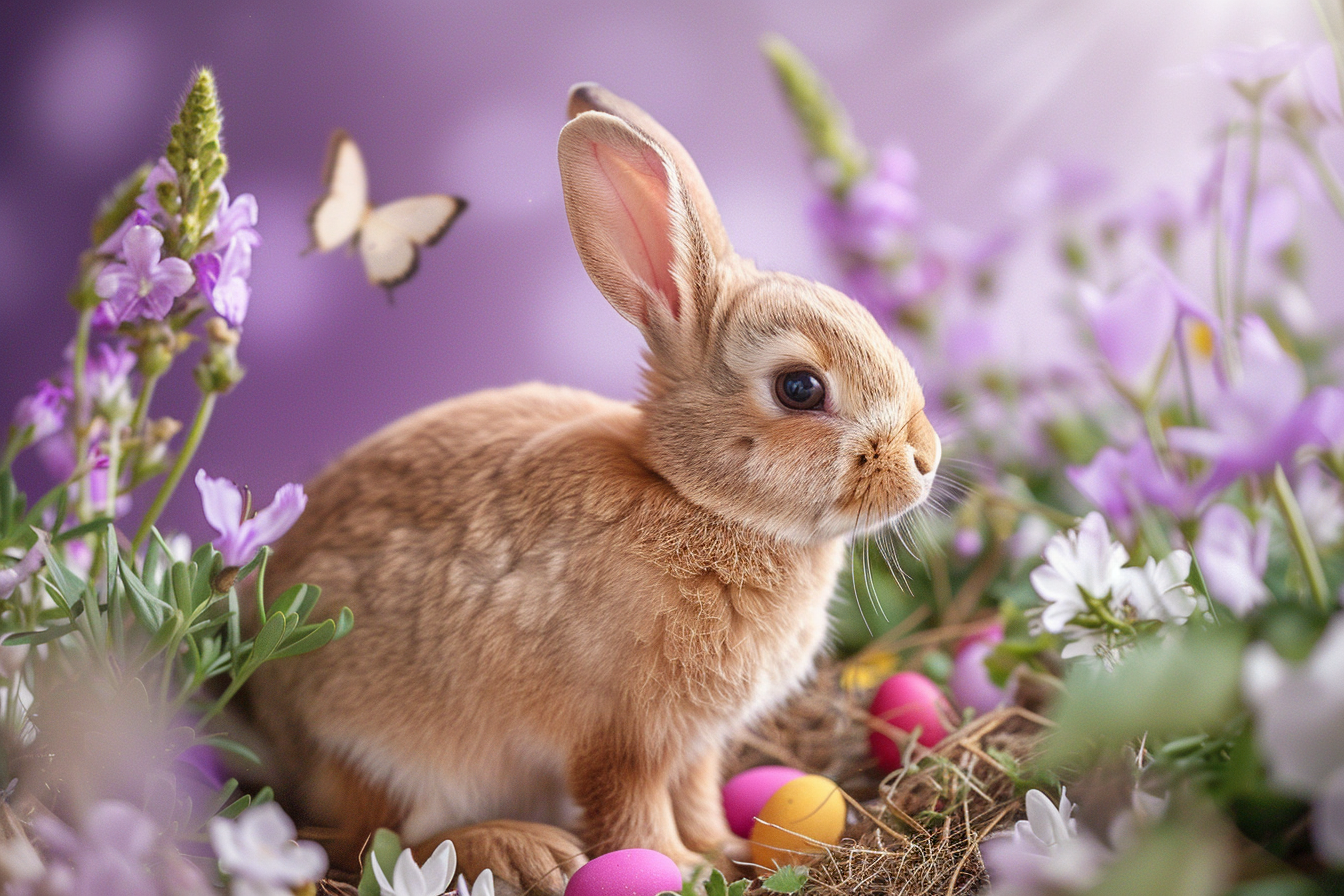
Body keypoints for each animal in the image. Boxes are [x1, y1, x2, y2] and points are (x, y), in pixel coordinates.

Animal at [243, 83, 940, 892]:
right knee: (368, 843)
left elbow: (697, 796)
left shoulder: (695, 744)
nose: (925, 457)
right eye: (800, 388)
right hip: (387, 755)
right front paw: (679, 870)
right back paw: (523, 850)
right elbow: (631, 812)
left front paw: (725, 851)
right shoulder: (621, 738)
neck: (692, 496)